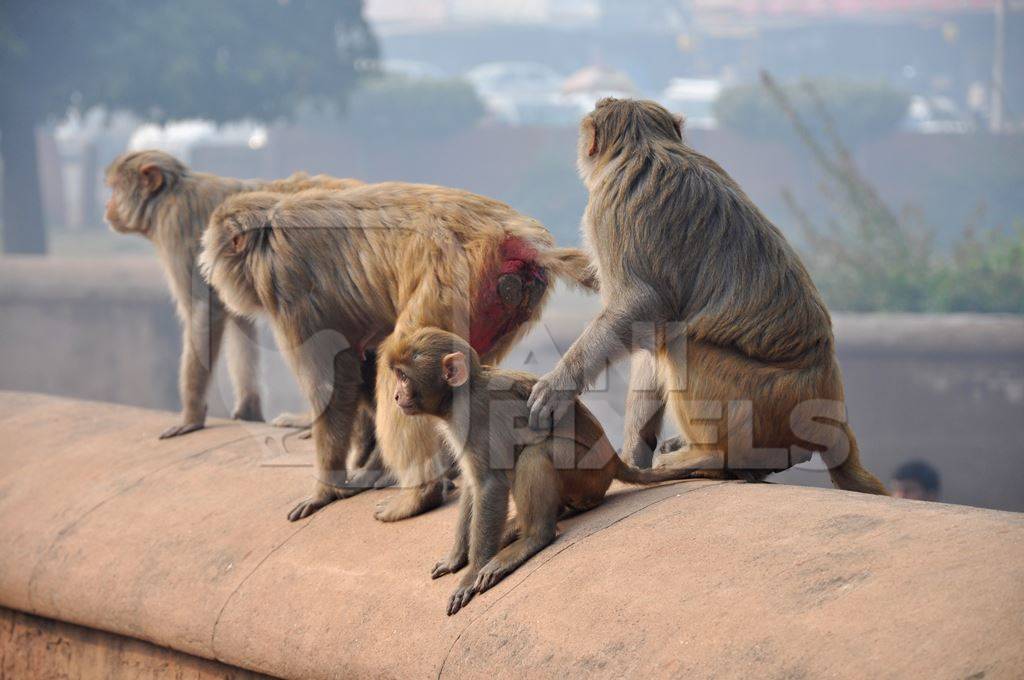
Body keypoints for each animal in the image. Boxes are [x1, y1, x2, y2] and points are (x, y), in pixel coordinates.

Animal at [103, 149, 366, 438]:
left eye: (116, 188)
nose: (107, 206)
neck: (168, 195)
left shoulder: (176, 227)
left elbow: (203, 310)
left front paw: (191, 416)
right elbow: (239, 320)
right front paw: (248, 411)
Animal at [199, 183, 598, 522]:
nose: (210, 273)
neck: (270, 228)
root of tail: (513, 237)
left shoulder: (286, 285)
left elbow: (334, 384)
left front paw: (325, 489)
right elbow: (354, 364)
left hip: (451, 282)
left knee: (401, 358)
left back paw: (420, 494)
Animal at [387, 327, 700, 614]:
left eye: (403, 376)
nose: (396, 396)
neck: (461, 395)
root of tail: (613, 460)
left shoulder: (476, 419)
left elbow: (490, 485)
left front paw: (471, 573)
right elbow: (474, 484)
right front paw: (456, 557)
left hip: (588, 472)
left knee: (534, 453)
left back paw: (533, 537)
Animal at [528, 99, 888, 493]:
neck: (644, 143)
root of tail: (831, 411)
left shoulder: (609, 207)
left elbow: (641, 306)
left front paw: (558, 387)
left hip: (761, 402)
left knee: (680, 341)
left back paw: (709, 457)